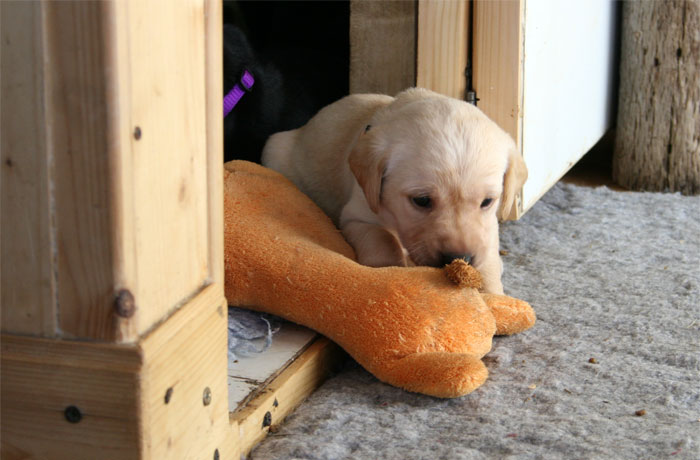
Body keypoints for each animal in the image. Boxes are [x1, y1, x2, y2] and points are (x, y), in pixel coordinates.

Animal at [262, 88, 527, 294]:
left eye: (487, 202)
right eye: (422, 200)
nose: (458, 258)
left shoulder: (488, 227)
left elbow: (487, 251)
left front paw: (493, 294)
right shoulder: (357, 215)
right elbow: (382, 240)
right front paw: (391, 273)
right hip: (274, 150)